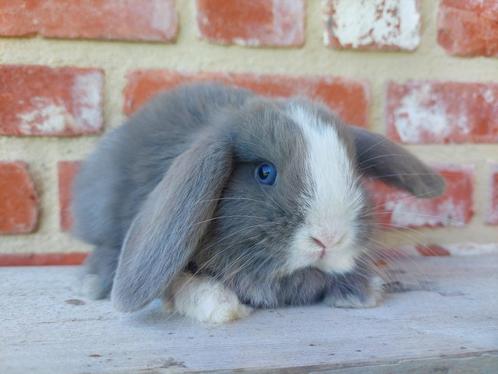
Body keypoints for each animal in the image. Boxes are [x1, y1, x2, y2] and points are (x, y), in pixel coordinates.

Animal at [72, 82, 446, 324]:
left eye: (353, 169)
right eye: (265, 173)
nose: (329, 238)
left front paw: (362, 290)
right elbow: (179, 286)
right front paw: (222, 306)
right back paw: (93, 283)